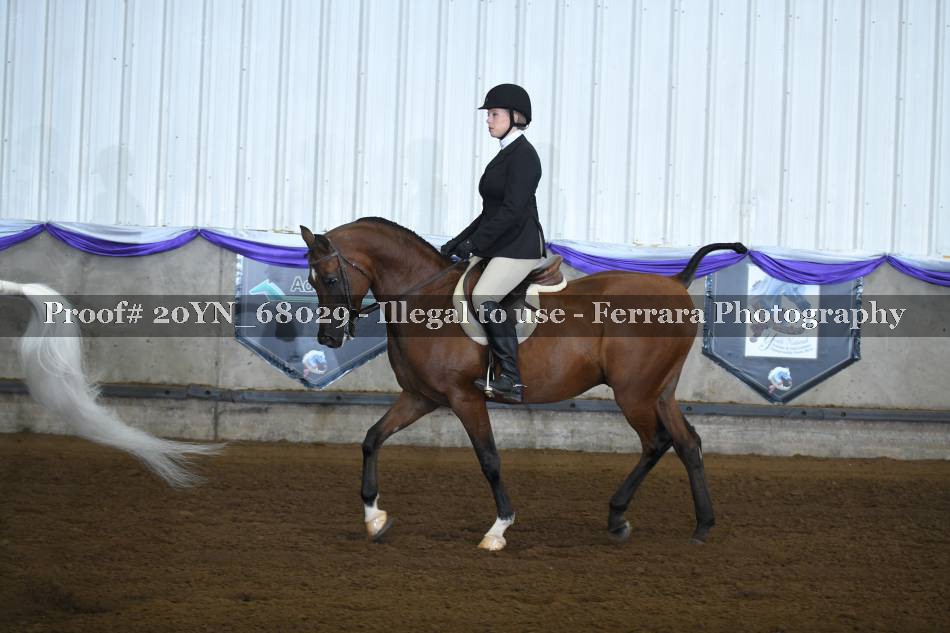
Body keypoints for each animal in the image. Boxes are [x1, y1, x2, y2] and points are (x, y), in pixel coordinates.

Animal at [300, 218, 747, 550]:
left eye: (329, 278)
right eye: (313, 279)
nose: (328, 339)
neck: (425, 300)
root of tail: (676, 282)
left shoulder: (465, 397)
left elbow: (490, 460)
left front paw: (498, 530)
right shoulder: (420, 397)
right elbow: (372, 438)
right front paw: (375, 519)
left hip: (634, 393)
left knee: (656, 442)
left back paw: (618, 518)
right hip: (660, 391)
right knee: (687, 442)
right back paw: (701, 526)